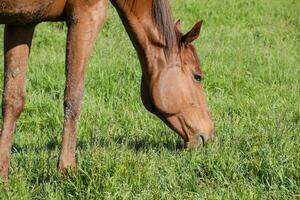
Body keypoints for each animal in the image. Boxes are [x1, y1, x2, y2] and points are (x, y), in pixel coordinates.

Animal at [0, 0, 214, 181]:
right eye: (198, 76)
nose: (209, 133)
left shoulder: (23, 21)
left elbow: (13, 99)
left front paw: (3, 173)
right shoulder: (88, 15)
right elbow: (73, 96)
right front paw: (67, 170)